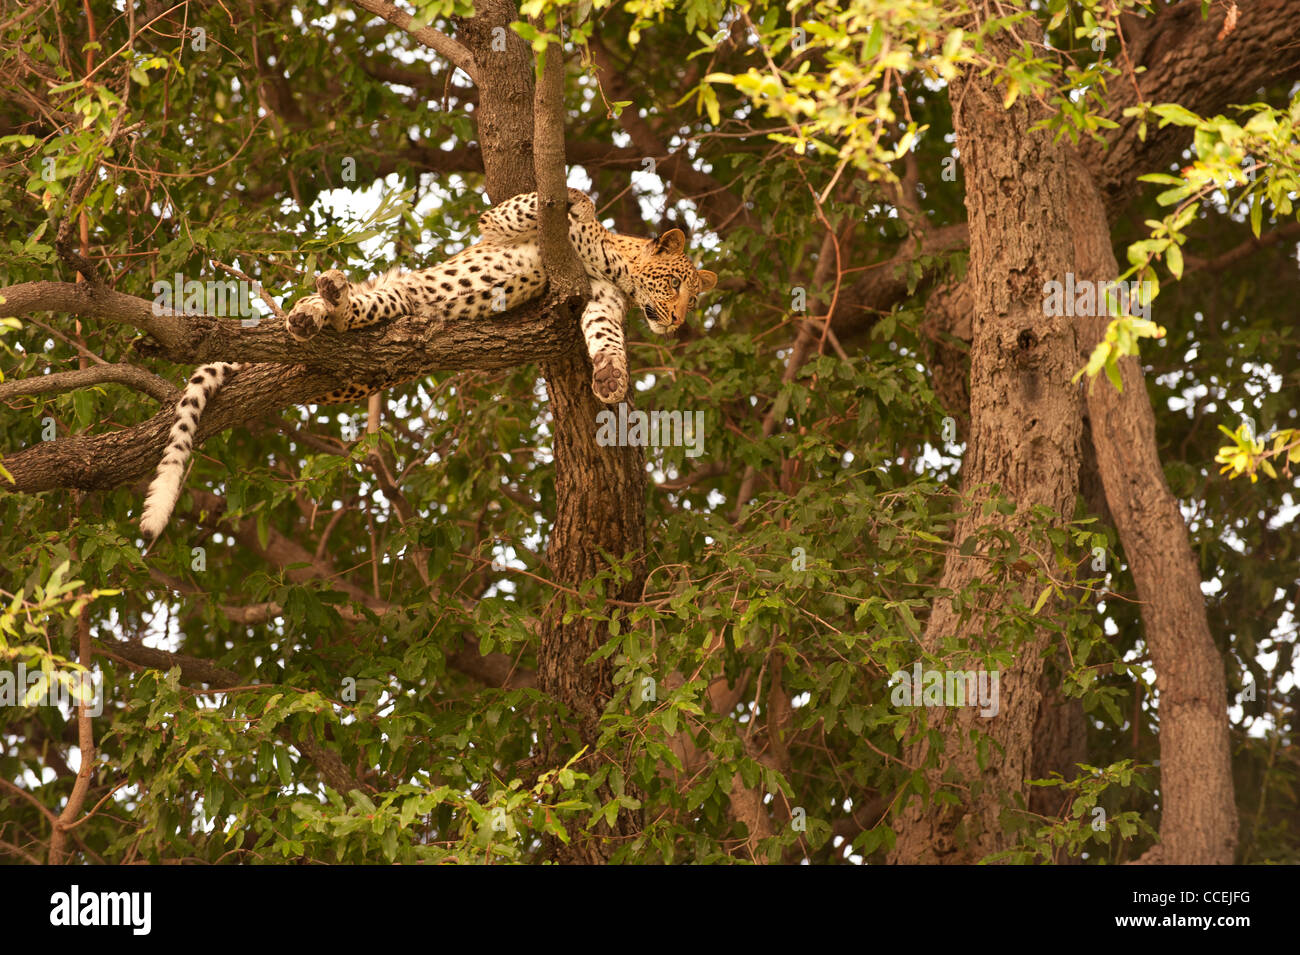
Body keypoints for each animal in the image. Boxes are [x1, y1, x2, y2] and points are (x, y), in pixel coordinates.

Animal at [138, 188, 717, 541]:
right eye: (675, 284)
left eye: (692, 298)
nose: (676, 322)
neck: (613, 271)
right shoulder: (503, 225)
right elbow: (534, 204)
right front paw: (577, 200)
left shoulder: (597, 304)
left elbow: (605, 338)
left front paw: (611, 377)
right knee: (325, 308)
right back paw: (313, 305)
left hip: (393, 307)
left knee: (352, 314)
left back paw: (323, 307)